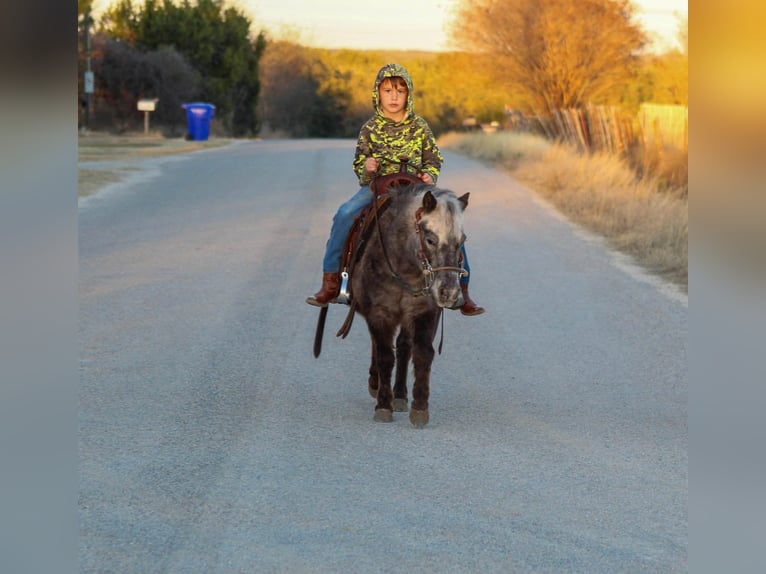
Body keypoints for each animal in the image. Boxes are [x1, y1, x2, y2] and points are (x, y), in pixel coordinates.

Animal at [329, 180, 470, 428]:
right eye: (430, 239)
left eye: (462, 241)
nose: (450, 293)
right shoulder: (380, 313)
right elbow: (385, 356)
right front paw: (383, 406)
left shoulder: (425, 312)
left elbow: (422, 353)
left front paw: (419, 408)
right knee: (379, 346)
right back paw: (376, 385)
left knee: (404, 346)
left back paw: (401, 396)